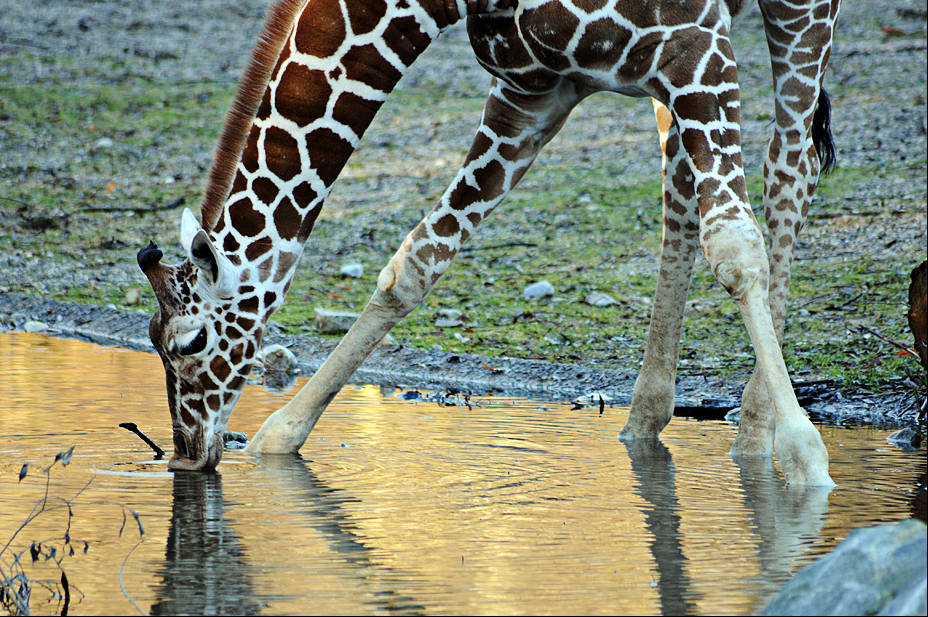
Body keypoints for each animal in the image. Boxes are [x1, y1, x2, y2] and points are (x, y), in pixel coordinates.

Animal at [138, 0, 840, 485]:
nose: (187, 456)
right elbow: (417, 263)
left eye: (189, 343)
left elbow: (737, 246)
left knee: (791, 163)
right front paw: (279, 438)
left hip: (793, 16)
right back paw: (645, 420)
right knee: (682, 188)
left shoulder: (693, 43)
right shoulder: (531, 94)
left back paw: (756, 429)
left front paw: (807, 457)